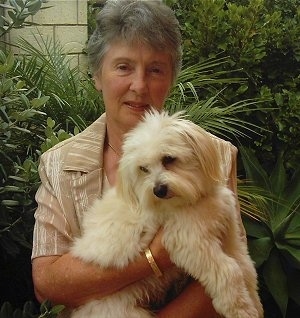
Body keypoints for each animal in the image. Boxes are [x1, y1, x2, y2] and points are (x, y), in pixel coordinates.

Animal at [69, 110, 262, 318]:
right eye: (143, 169)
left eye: (168, 159)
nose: (158, 190)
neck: (193, 200)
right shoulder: (191, 243)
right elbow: (230, 271)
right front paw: (240, 309)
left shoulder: (229, 236)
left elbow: (245, 268)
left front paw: (253, 303)